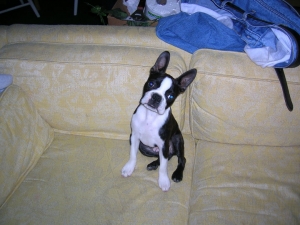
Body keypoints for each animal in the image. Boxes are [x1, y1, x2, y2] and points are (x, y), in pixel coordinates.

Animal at [121, 51, 197, 192]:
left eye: (170, 96)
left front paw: (164, 181)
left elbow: (164, 167)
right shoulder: (134, 137)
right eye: (151, 84)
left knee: (181, 159)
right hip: (144, 148)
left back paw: (177, 174)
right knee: (164, 157)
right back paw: (153, 164)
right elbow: (133, 155)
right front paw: (129, 168)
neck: (150, 116)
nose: (156, 97)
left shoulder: (163, 144)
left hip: (177, 140)